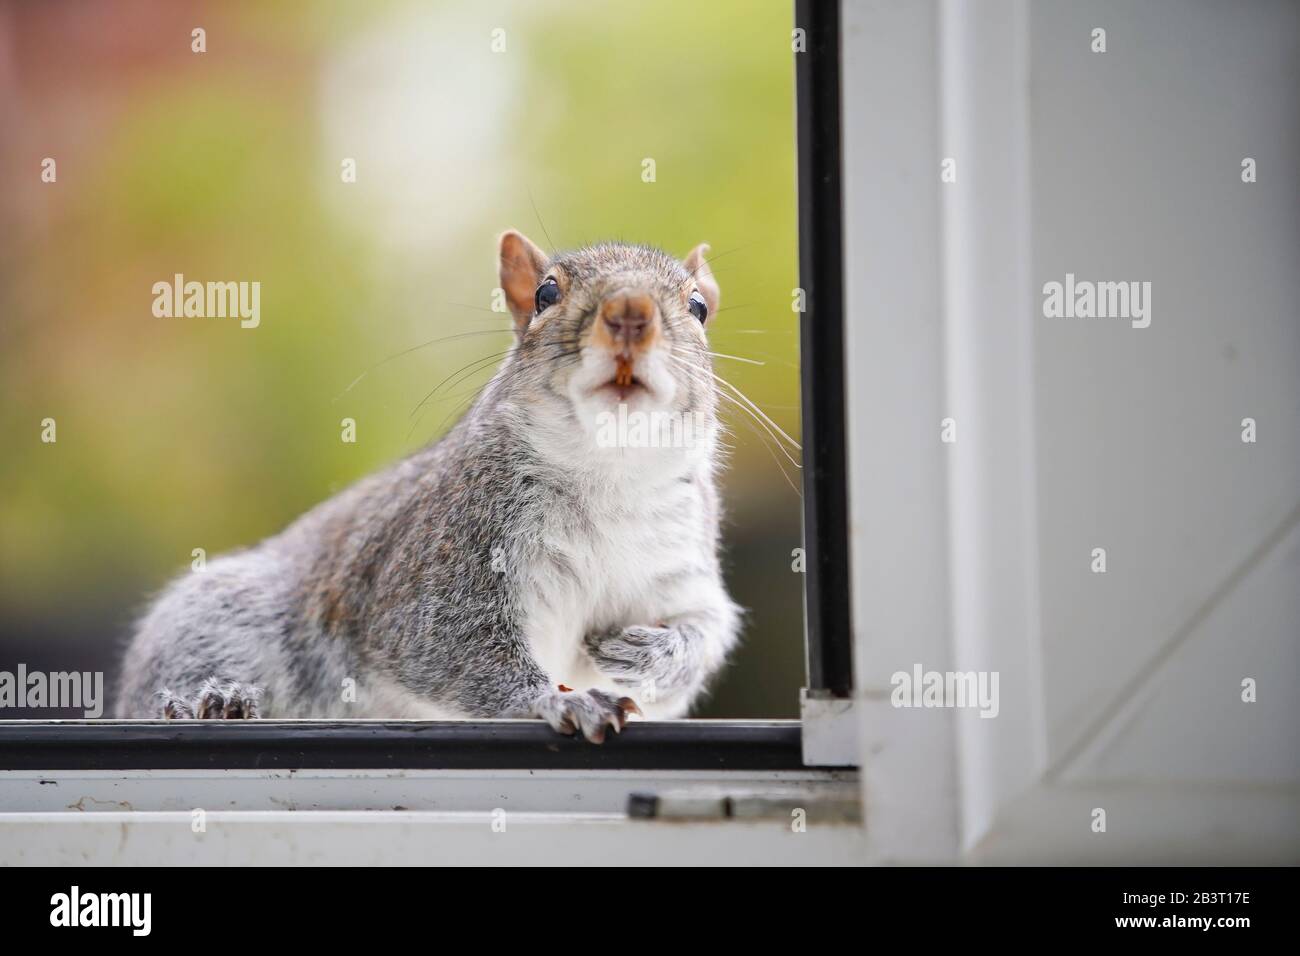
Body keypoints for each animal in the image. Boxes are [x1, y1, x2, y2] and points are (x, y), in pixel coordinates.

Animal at [115, 231, 742, 742]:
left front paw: (647, 652)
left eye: (698, 306)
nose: (631, 312)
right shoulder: (438, 565)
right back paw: (210, 701)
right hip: (219, 615)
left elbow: (704, 632)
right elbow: (445, 649)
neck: (609, 466)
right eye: (546, 294)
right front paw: (558, 702)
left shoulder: (679, 567)